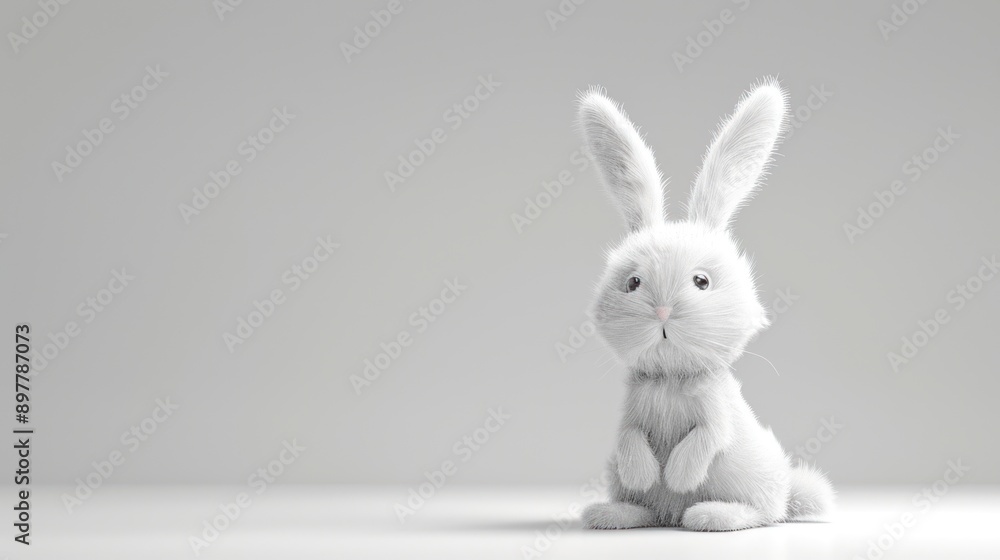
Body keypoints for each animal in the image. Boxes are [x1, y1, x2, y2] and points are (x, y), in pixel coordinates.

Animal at [576, 79, 834, 531]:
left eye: (701, 281)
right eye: (633, 283)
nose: (663, 311)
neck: (670, 378)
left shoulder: (716, 414)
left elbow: (706, 437)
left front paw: (678, 475)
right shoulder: (631, 413)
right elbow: (629, 437)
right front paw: (646, 473)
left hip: (751, 479)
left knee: (763, 512)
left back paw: (708, 513)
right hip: (624, 482)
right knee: (644, 504)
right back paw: (612, 512)